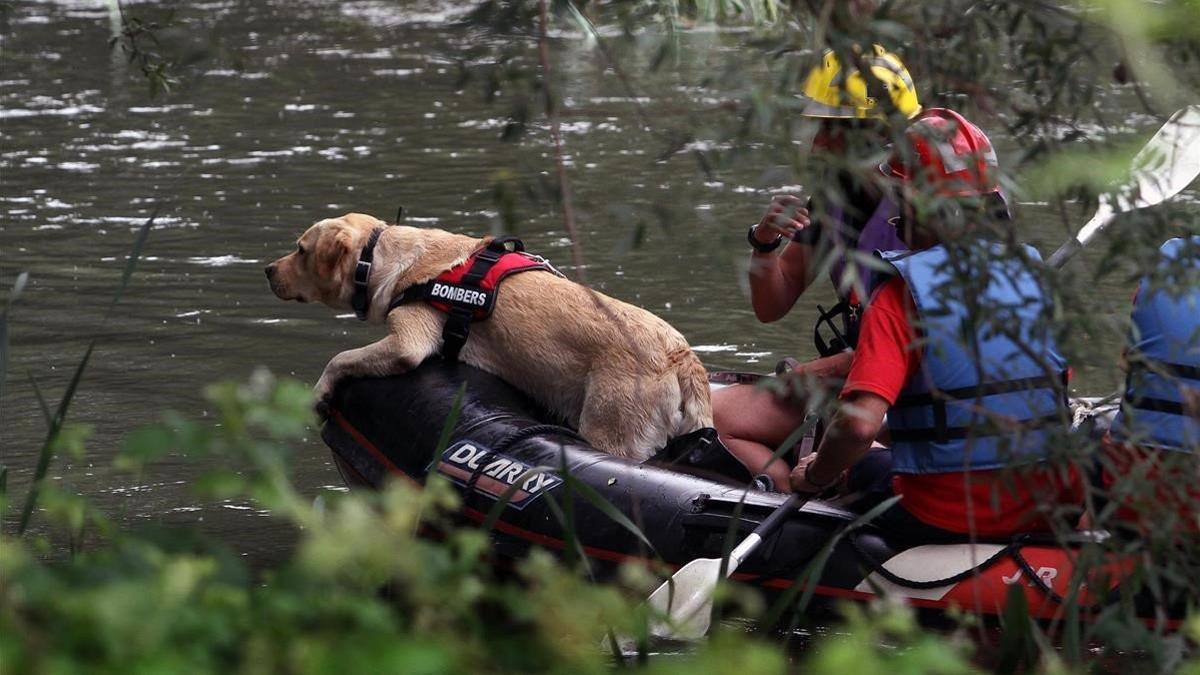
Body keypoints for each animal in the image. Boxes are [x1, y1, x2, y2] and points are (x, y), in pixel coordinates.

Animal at [265, 212, 710, 458]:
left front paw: (319, 393)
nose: (267, 269)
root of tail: (680, 354)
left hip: (612, 431)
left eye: (301, 250)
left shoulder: (410, 342)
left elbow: (339, 357)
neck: (380, 258)